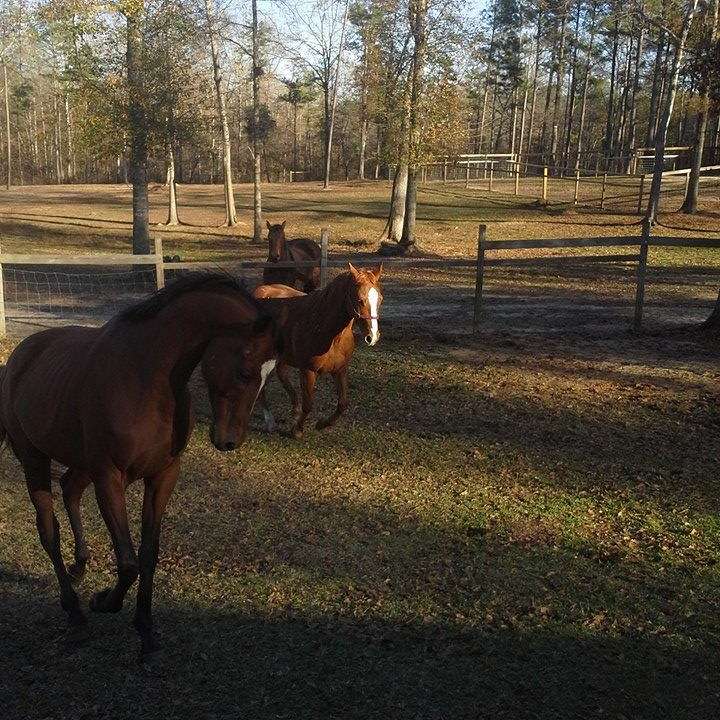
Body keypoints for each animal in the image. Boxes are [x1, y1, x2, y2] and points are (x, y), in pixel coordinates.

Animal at [0, 272, 278, 656]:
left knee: (70, 489)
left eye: (268, 375)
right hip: (34, 461)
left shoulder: (163, 476)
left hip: (79, 464)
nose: (229, 441)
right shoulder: (109, 477)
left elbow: (148, 555)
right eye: (245, 371)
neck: (145, 378)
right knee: (49, 533)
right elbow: (128, 561)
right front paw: (104, 601)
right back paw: (75, 614)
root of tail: (18, 358)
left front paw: (145, 628)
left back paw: (80, 565)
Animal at [256, 262, 386, 436]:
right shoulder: (308, 371)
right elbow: (308, 405)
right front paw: (297, 430)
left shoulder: (340, 369)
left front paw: (322, 424)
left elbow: (342, 404)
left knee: (281, 375)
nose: (373, 336)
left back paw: (294, 411)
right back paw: (270, 421)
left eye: (380, 299)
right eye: (360, 300)